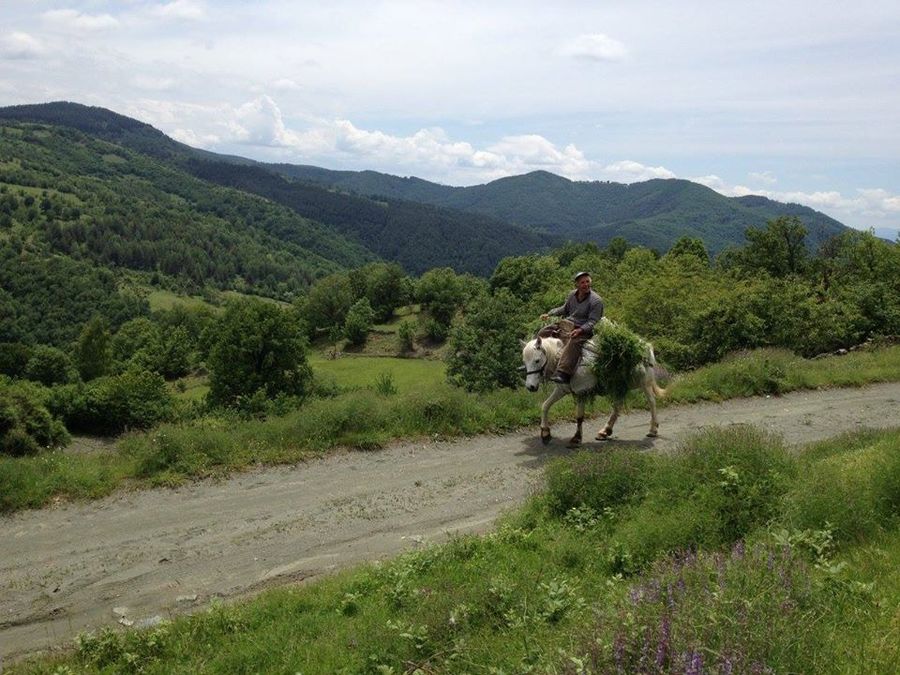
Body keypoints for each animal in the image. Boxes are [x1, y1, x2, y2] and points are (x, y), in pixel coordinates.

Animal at [520, 324, 668, 446]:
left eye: (537, 360)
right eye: (525, 361)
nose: (530, 387)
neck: (562, 358)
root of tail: (646, 346)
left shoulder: (581, 392)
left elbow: (579, 416)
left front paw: (576, 438)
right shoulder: (562, 390)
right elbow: (545, 406)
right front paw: (545, 433)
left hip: (644, 383)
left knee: (652, 402)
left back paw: (653, 429)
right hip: (620, 386)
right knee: (618, 406)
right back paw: (605, 431)